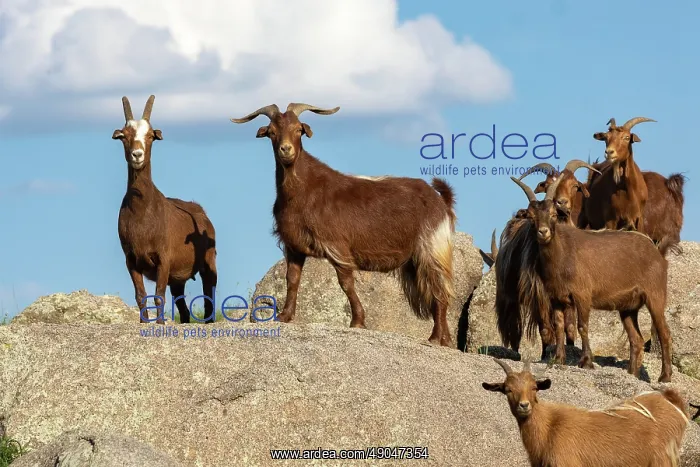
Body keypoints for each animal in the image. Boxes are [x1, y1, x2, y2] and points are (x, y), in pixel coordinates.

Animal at [113, 95, 217, 324]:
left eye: (151, 136)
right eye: (124, 136)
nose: (137, 155)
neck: (142, 213)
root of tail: (202, 213)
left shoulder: (164, 258)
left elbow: (158, 296)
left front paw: (159, 324)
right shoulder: (131, 260)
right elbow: (141, 296)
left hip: (208, 262)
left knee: (209, 294)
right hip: (178, 279)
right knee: (183, 309)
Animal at [230, 103, 457, 346]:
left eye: (299, 130)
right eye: (272, 132)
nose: (286, 150)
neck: (303, 191)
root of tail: (440, 200)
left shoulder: (337, 245)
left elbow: (346, 283)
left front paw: (357, 321)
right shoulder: (294, 246)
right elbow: (292, 279)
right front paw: (285, 316)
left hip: (431, 246)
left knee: (440, 291)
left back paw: (435, 338)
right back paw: (445, 339)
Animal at [482, 358, 692, 467]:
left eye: (534, 387)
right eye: (507, 389)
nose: (524, 405)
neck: (549, 429)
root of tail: (671, 402)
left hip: (662, 460)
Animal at [510, 173, 674, 382]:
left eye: (553, 215)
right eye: (531, 217)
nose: (543, 232)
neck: (563, 255)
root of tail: (658, 253)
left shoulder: (583, 295)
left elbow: (583, 326)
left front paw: (586, 361)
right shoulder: (556, 298)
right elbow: (559, 326)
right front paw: (558, 359)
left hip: (655, 295)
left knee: (664, 332)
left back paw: (665, 377)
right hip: (628, 306)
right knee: (636, 339)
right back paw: (632, 374)